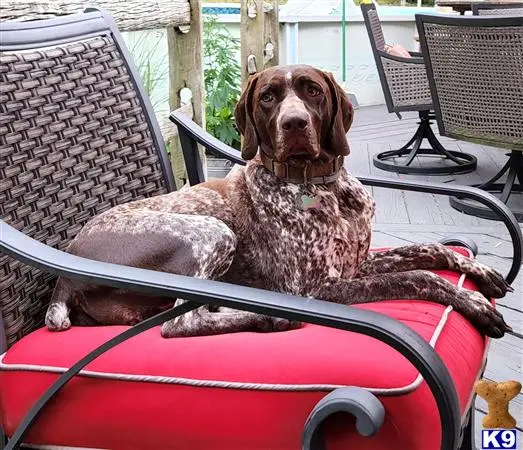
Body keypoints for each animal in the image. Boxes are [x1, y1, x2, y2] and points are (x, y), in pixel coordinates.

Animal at [44, 63, 512, 338]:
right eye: (268, 97)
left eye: (312, 91)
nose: (294, 124)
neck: (322, 187)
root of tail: (65, 275)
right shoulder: (316, 288)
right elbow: (420, 277)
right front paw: (471, 302)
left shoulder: (356, 264)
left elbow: (431, 250)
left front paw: (481, 273)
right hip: (213, 232)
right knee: (180, 322)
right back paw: (272, 316)